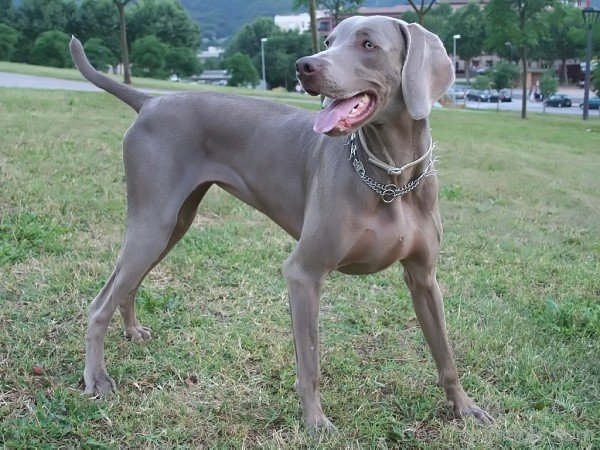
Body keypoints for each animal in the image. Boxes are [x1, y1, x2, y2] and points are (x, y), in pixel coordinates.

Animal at [70, 15, 492, 430]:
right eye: (330, 40)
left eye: (368, 44)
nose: (305, 65)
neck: (392, 178)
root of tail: (150, 100)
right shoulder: (304, 272)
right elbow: (310, 363)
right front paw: (315, 422)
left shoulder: (424, 278)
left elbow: (445, 354)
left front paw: (465, 407)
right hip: (154, 221)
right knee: (100, 302)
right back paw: (97, 378)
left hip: (174, 223)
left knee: (127, 283)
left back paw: (131, 330)